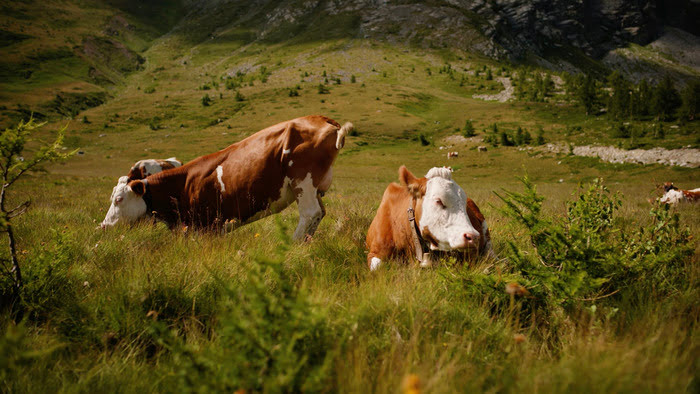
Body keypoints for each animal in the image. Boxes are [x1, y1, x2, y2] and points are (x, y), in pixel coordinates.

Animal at [101, 114, 352, 240]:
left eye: (119, 200)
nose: (103, 226)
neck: (183, 185)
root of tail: (322, 118)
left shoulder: (207, 226)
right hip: (314, 187)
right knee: (319, 214)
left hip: (303, 180)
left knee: (310, 214)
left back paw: (294, 245)